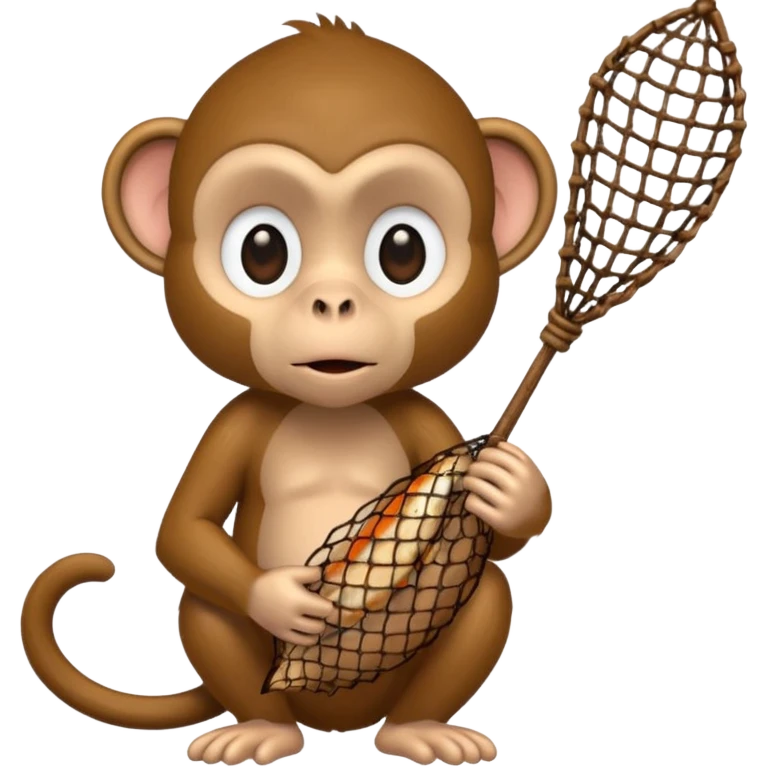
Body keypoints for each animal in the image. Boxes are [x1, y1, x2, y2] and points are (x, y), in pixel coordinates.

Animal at [21, 14, 558, 767]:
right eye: (262, 251)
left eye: (403, 252)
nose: (332, 302)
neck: (332, 410)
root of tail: (332, 721)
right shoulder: (238, 420)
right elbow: (183, 530)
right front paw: (284, 599)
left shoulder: (422, 419)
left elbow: (499, 535)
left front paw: (510, 485)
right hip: (245, 648)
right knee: (207, 607)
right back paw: (257, 730)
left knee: (485, 594)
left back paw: (421, 730)